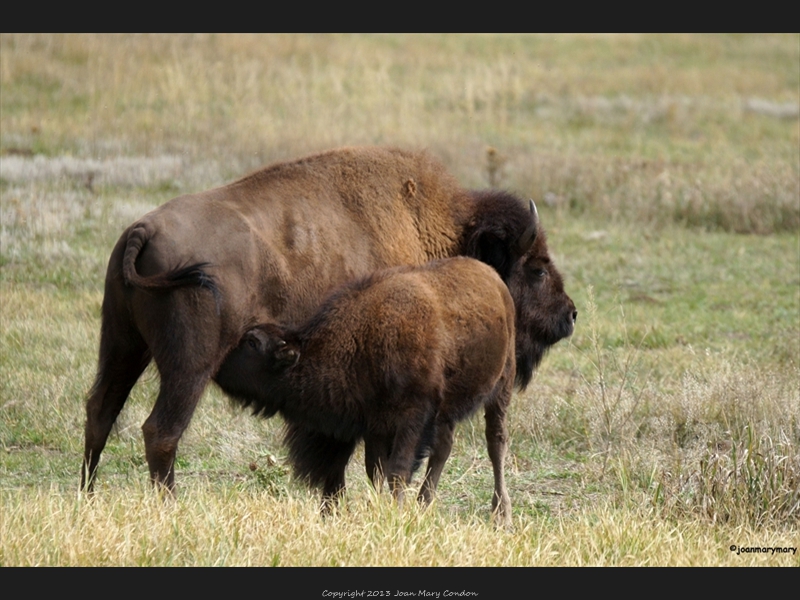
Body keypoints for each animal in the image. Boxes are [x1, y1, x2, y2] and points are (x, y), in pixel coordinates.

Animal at [84, 145, 580, 492]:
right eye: (536, 269)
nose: (570, 315)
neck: (426, 227)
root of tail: (143, 229)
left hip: (122, 344)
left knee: (100, 412)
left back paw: (86, 497)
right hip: (190, 366)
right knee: (161, 432)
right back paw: (168, 504)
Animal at [217, 258, 520, 524]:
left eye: (252, 343)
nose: (219, 366)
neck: (364, 338)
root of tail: (493, 278)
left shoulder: (413, 418)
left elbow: (397, 470)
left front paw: (394, 514)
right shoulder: (376, 424)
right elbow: (375, 470)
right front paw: (378, 510)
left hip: (502, 386)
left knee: (496, 442)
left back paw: (502, 515)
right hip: (448, 410)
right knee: (443, 449)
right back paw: (424, 506)